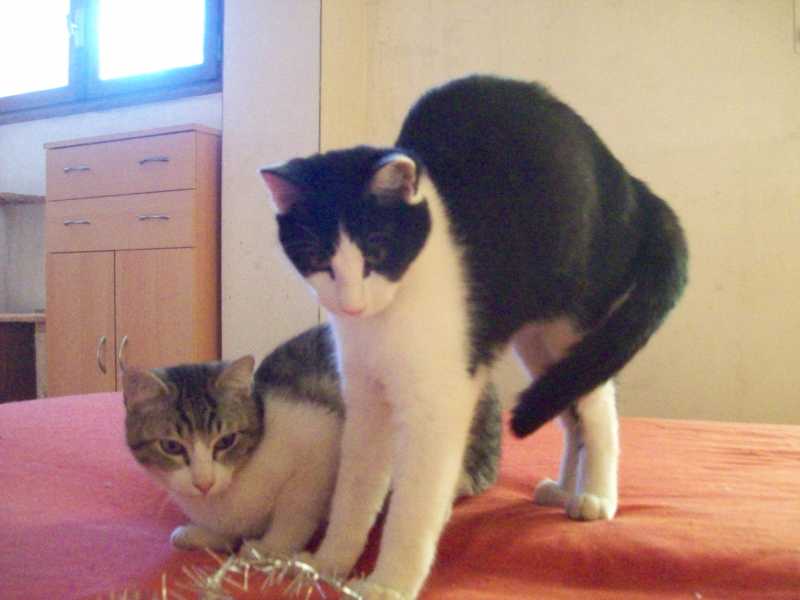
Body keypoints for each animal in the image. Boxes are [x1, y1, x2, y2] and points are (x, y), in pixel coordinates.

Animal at [122, 323, 501, 557]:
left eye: (226, 441)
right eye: (172, 446)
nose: (203, 482)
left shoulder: (320, 438)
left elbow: (296, 509)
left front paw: (270, 547)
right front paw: (204, 534)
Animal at [260, 74, 688, 599]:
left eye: (377, 251)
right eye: (318, 257)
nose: (353, 303)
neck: (387, 318)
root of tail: (631, 185)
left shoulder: (438, 401)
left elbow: (415, 503)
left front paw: (390, 582)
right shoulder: (366, 398)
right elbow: (355, 487)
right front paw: (328, 562)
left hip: (577, 327)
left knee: (598, 409)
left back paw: (596, 495)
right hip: (538, 343)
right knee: (569, 412)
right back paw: (565, 489)